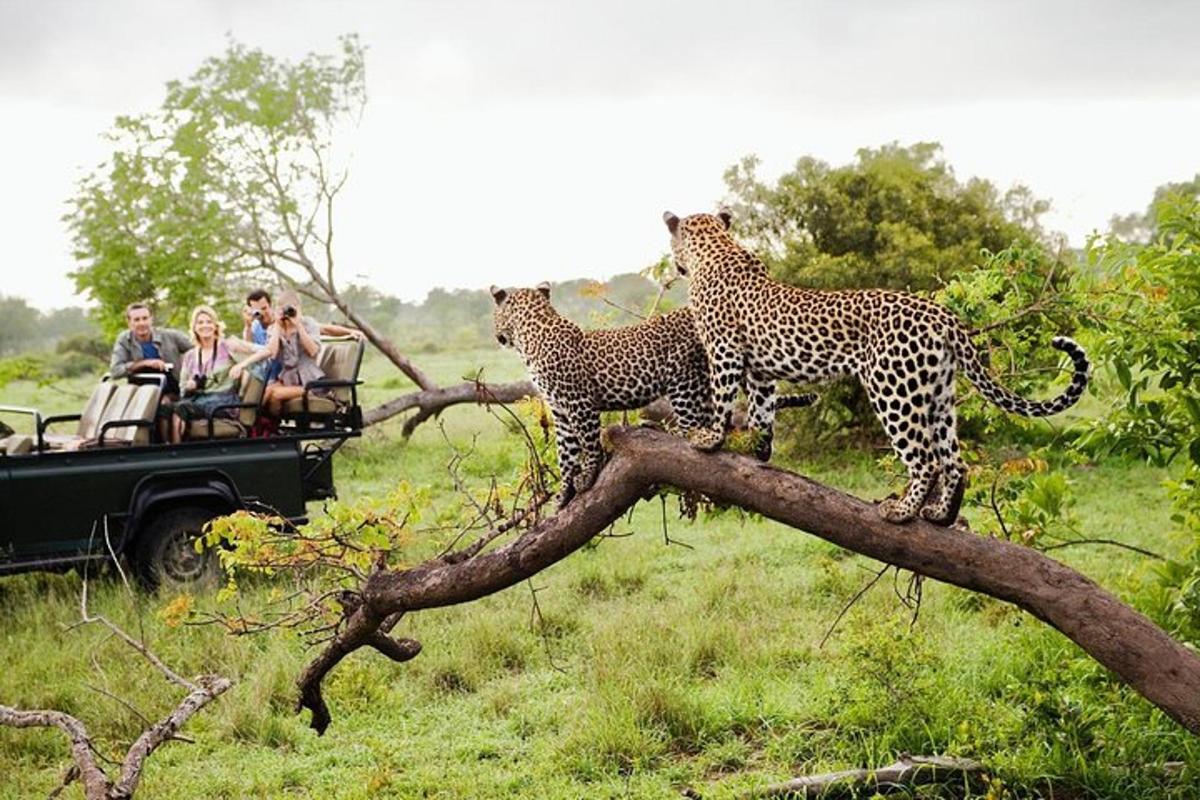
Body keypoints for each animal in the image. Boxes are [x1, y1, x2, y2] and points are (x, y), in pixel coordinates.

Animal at [487, 284, 816, 503]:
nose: (497, 336)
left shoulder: (579, 404)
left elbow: (588, 444)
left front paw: (587, 476)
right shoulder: (560, 410)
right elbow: (565, 452)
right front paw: (564, 492)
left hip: (684, 379)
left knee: (693, 428)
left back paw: (663, 429)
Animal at [662, 209, 1094, 527]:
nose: (674, 264)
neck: (716, 247)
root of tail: (943, 315)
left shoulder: (724, 351)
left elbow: (722, 398)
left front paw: (709, 439)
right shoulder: (761, 370)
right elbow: (762, 411)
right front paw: (758, 449)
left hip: (893, 390)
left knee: (926, 460)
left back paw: (901, 512)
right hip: (938, 395)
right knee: (955, 461)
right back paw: (940, 515)